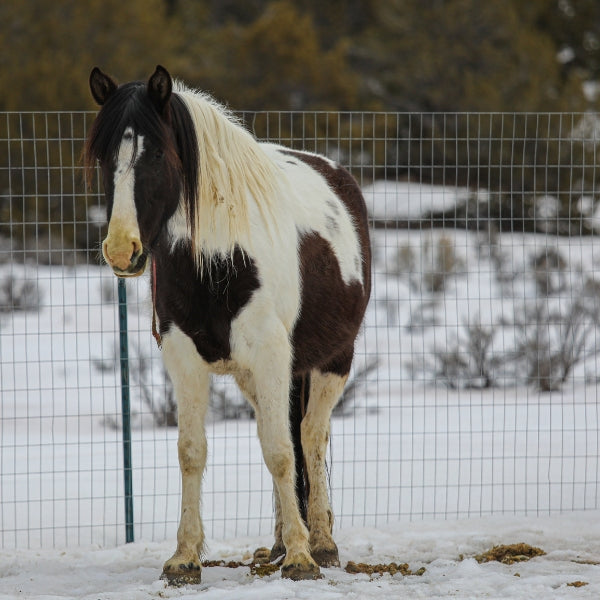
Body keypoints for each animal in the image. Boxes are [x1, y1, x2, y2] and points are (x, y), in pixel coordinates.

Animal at [84, 67, 370, 584]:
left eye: (157, 154)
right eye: (103, 156)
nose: (120, 250)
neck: (217, 260)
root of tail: (339, 176)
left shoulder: (273, 354)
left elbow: (280, 449)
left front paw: (301, 558)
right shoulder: (184, 358)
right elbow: (192, 451)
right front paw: (184, 558)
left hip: (334, 361)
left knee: (310, 436)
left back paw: (320, 543)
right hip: (253, 377)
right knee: (292, 435)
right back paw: (278, 545)